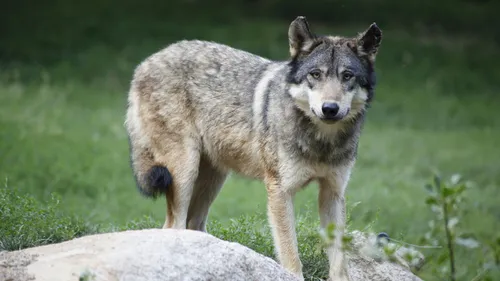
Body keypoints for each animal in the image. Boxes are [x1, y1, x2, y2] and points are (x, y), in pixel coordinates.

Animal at [126, 17, 382, 280]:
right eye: (315, 74)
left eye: (347, 76)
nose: (329, 108)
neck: (321, 143)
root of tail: (145, 63)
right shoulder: (280, 192)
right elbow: (291, 256)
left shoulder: (333, 193)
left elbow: (339, 260)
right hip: (184, 172)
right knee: (171, 226)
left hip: (213, 179)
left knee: (193, 225)